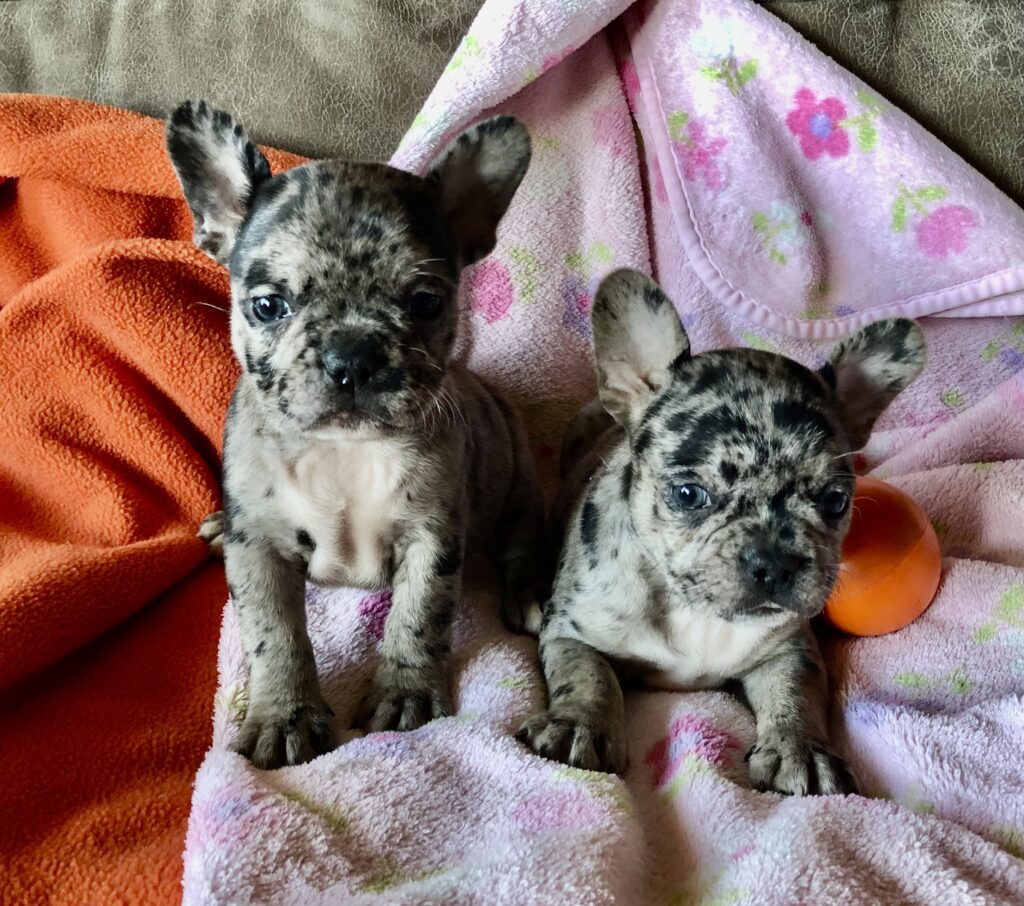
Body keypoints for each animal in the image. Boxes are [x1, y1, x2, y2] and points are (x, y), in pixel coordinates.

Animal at [168, 100, 548, 769]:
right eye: (268, 306)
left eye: (425, 301)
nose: (352, 358)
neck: (341, 451)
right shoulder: (259, 548)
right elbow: (274, 633)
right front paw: (285, 715)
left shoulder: (431, 537)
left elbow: (419, 615)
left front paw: (403, 693)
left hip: (519, 482)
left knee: (520, 538)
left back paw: (525, 591)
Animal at [520, 266, 929, 790]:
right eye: (688, 494)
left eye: (835, 502)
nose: (775, 562)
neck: (694, 610)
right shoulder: (573, 634)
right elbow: (588, 675)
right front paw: (578, 724)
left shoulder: (790, 650)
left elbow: (795, 694)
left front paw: (800, 750)